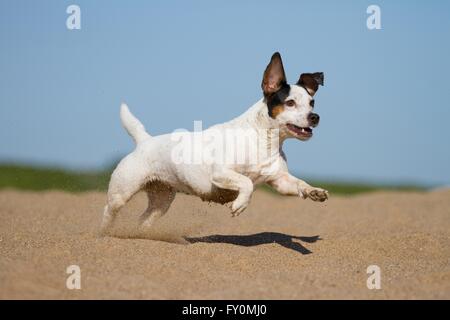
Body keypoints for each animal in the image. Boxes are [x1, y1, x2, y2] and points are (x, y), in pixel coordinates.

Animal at [100, 51, 328, 234]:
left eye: (312, 102)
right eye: (290, 103)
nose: (315, 117)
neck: (262, 141)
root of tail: (144, 141)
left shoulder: (280, 181)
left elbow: (298, 184)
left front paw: (314, 191)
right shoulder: (220, 173)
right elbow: (246, 183)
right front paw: (240, 204)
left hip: (162, 199)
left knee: (144, 219)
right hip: (122, 192)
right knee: (108, 211)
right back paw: (104, 234)